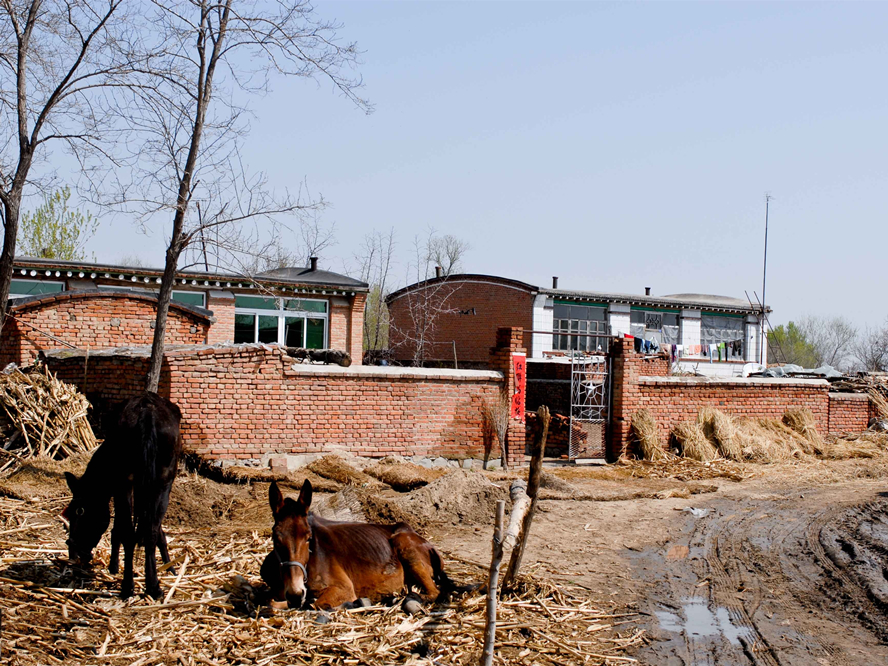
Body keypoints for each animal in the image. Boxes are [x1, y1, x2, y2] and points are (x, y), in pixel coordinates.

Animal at [62, 390, 182, 596]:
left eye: (80, 512)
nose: (73, 549)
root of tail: (147, 411)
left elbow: (118, 529)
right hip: (159, 482)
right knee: (146, 531)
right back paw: (150, 587)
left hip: (132, 483)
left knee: (133, 530)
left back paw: (130, 586)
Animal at [260, 478, 448, 608]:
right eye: (275, 537)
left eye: (308, 537)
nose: (295, 593)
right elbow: (271, 601)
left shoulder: (343, 588)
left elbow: (314, 604)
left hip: (404, 545)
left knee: (434, 592)